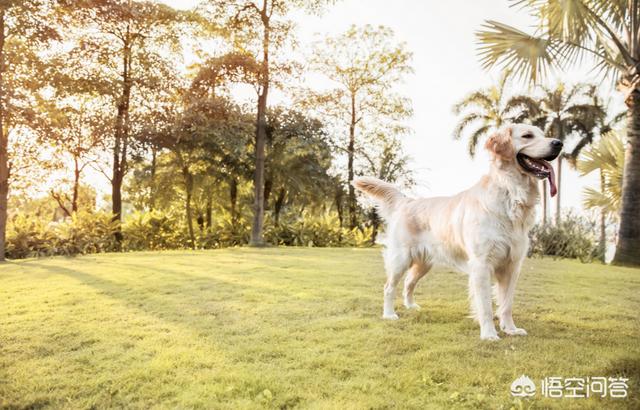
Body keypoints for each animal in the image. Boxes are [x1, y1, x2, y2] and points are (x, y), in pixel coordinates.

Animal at [352, 124, 564, 340]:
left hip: (424, 263)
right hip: (400, 259)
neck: (510, 193)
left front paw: (510, 329)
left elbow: (506, 304)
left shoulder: (512, 265)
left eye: (543, 134)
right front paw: (489, 334)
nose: (559, 143)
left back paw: (411, 306)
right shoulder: (481, 264)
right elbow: (486, 306)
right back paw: (389, 314)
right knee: (389, 287)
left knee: (409, 283)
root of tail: (407, 201)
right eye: (527, 136)